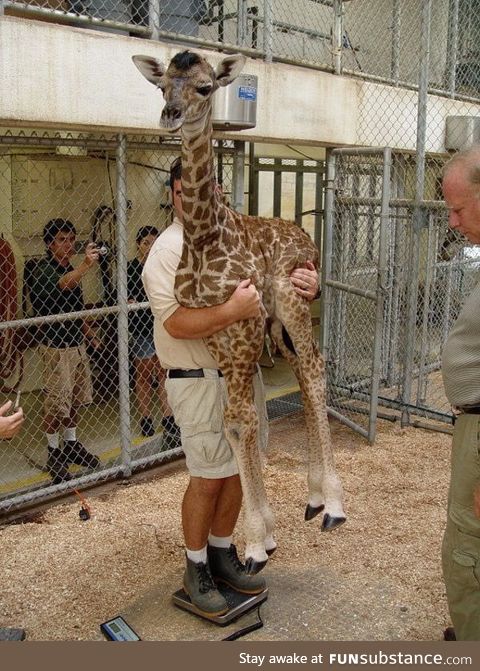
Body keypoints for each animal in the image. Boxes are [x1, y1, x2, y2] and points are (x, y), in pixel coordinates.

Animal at [133, 50, 346, 576]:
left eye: (205, 87)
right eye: (162, 85)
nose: (170, 115)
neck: (204, 238)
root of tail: (306, 237)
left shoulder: (244, 325)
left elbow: (244, 419)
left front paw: (251, 545)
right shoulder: (219, 335)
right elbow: (234, 422)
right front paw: (262, 535)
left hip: (290, 302)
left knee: (315, 371)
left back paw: (333, 505)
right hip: (278, 330)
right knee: (303, 375)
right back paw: (314, 498)